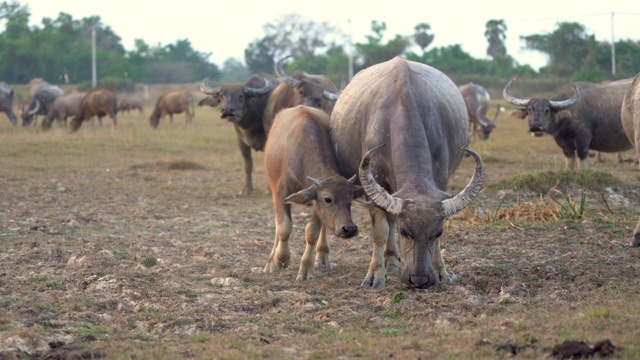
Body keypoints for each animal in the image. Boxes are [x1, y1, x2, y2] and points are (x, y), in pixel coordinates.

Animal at [262, 104, 362, 282]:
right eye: (328, 199)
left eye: (350, 199)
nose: (349, 229)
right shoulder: (281, 194)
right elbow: (284, 227)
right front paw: (280, 259)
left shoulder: (315, 202)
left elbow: (312, 232)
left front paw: (306, 268)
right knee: (277, 225)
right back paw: (270, 261)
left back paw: (322, 256)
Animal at [330, 57, 484, 290]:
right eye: (405, 232)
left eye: (437, 232)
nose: (419, 280)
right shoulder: (374, 186)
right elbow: (380, 232)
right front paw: (375, 275)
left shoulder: (440, 181)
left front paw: (442, 272)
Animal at [504, 78, 636, 170]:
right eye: (529, 110)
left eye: (547, 110)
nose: (536, 127)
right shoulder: (565, 147)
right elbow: (569, 167)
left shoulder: (583, 143)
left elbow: (583, 167)